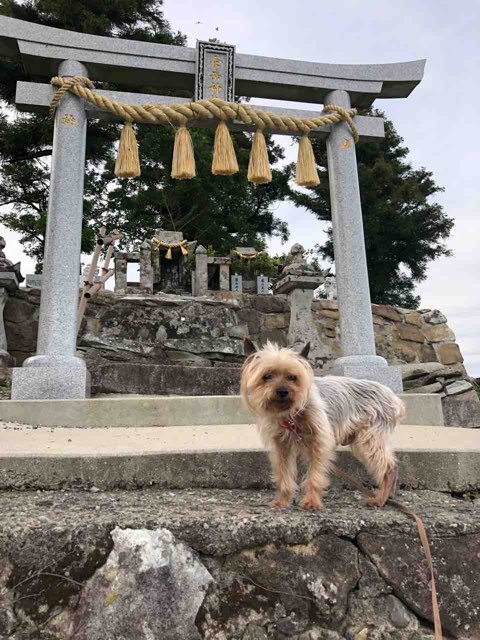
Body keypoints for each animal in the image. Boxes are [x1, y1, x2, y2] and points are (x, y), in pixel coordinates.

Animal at [240, 340, 404, 510]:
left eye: (293, 377)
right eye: (266, 376)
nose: (283, 391)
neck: (292, 414)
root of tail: (394, 398)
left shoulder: (319, 442)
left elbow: (315, 474)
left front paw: (311, 501)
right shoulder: (281, 446)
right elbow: (283, 474)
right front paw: (282, 500)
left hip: (369, 438)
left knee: (388, 467)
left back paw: (380, 499)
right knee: (391, 464)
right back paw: (389, 495)